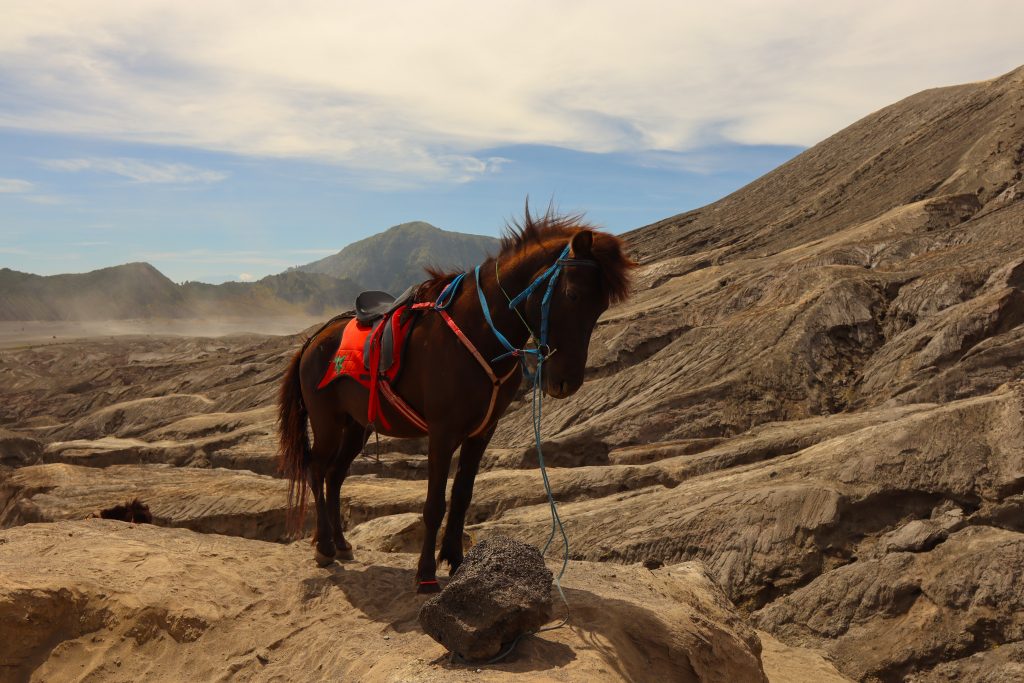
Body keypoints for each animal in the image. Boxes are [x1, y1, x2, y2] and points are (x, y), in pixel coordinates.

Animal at [277, 210, 635, 593]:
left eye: (602, 306)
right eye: (571, 294)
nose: (566, 382)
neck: (480, 332)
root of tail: (313, 340)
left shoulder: (481, 432)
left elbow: (462, 497)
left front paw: (457, 562)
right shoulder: (442, 433)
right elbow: (435, 504)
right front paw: (425, 574)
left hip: (356, 425)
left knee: (335, 475)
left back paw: (342, 543)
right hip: (327, 422)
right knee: (317, 470)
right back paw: (325, 546)